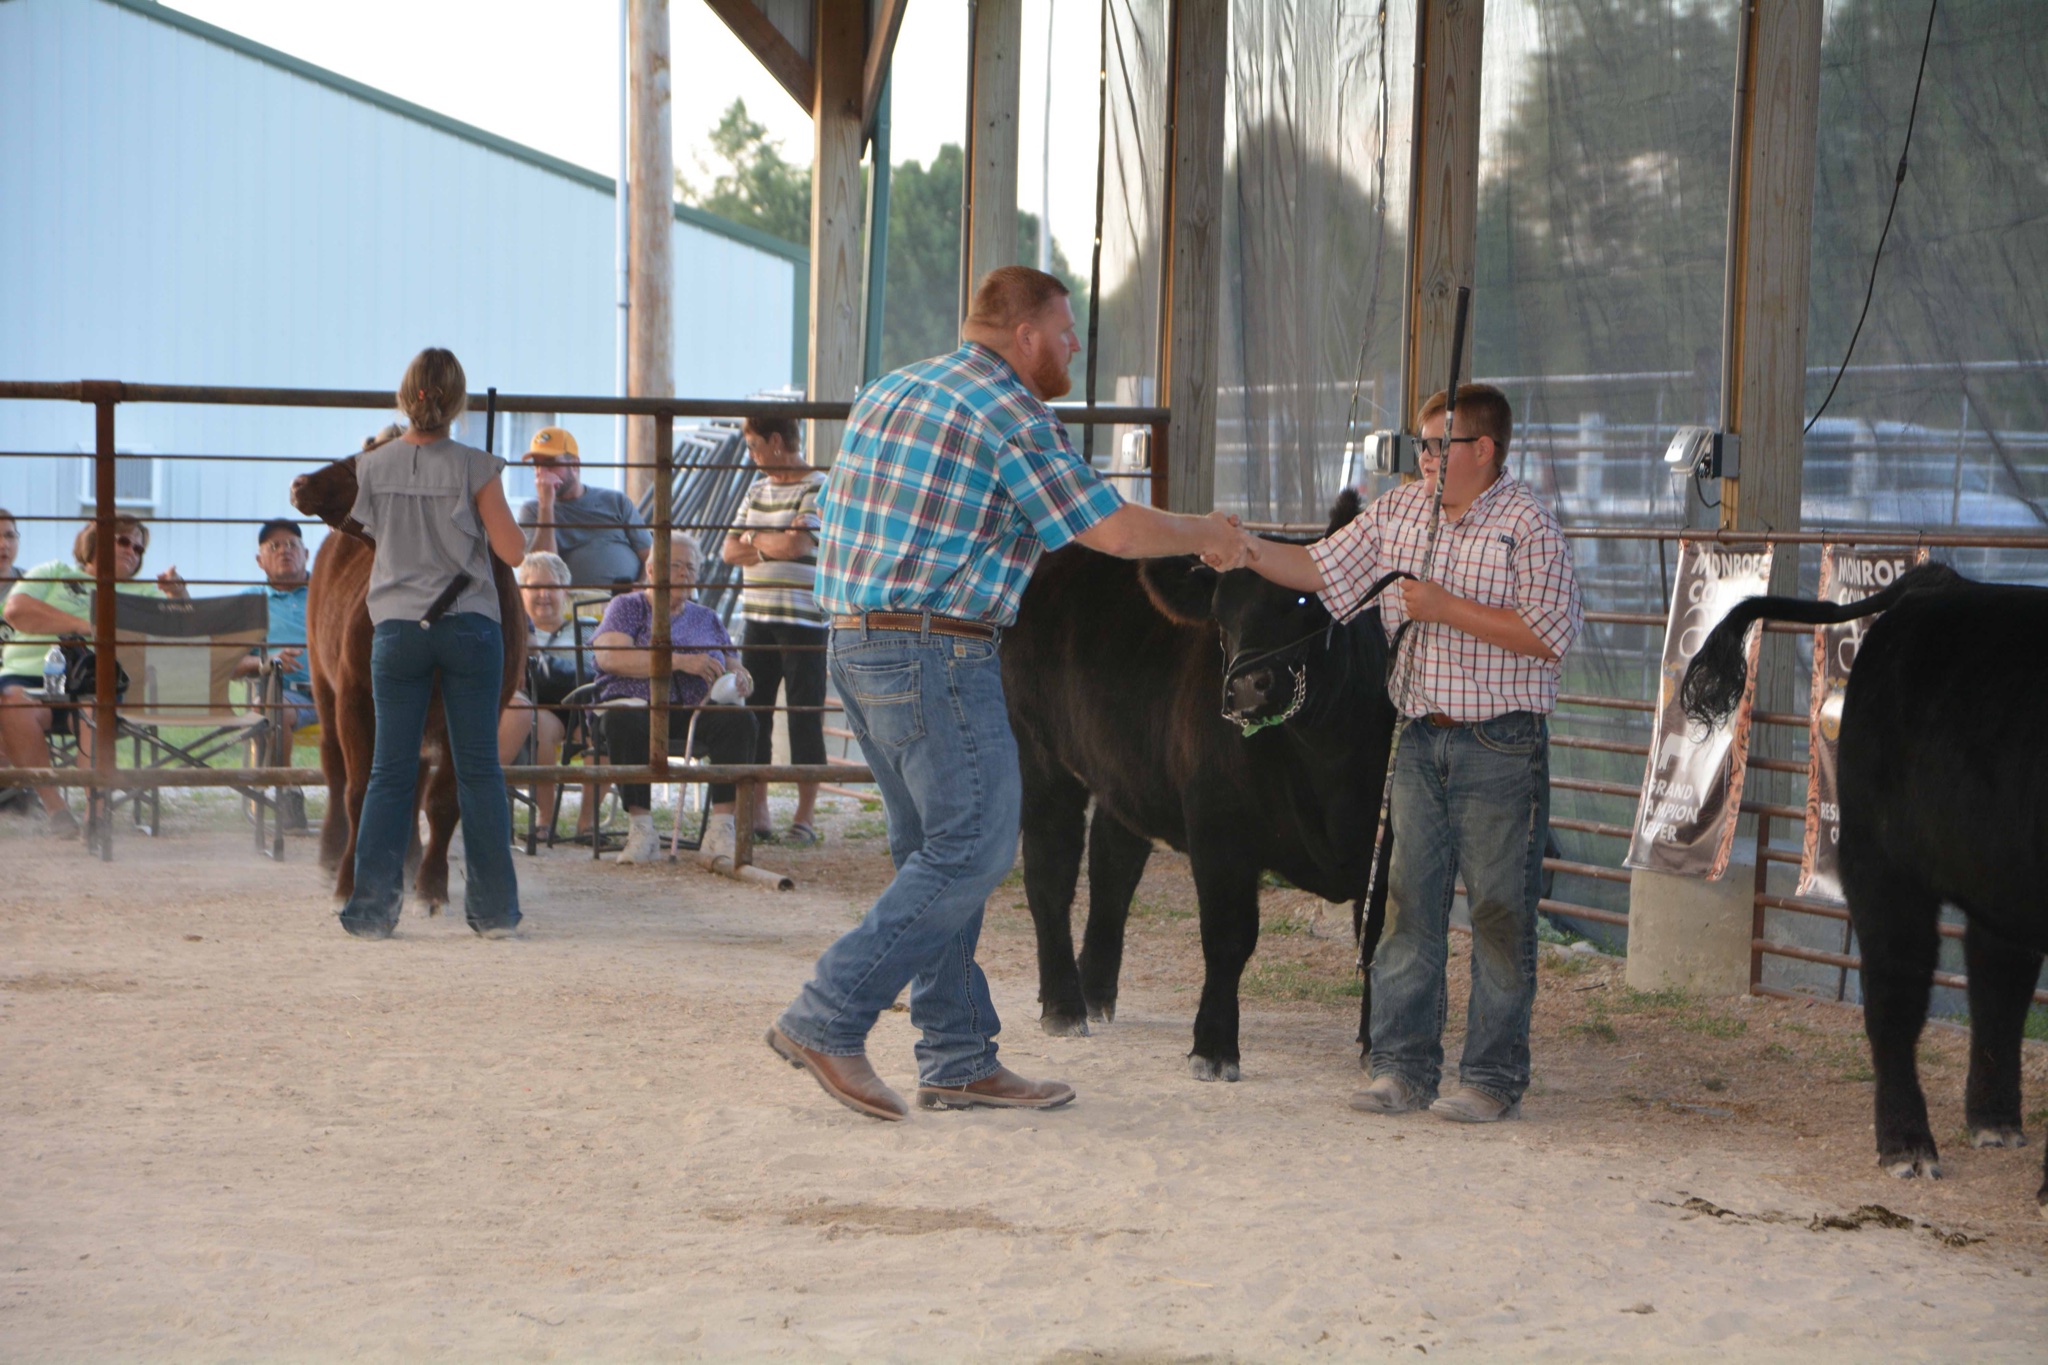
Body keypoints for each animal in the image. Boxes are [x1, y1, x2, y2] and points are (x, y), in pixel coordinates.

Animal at [1003, 491, 1399, 1080]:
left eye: (1304, 599)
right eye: (1220, 613)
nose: (1246, 687)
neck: (1324, 760)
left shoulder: (1391, 839)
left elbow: (1378, 940)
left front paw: (1379, 1045)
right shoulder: (1217, 823)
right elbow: (1228, 937)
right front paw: (1212, 1047)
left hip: (1126, 769)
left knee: (1112, 867)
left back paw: (1095, 990)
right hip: (1039, 755)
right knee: (1051, 874)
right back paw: (1064, 1005)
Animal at [1681, 562, 2048, 1216]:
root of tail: (1940, 581)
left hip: (1996, 878)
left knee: (1995, 984)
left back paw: (1995, 1121)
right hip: (1883, 865)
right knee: (1896, 997)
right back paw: (1908, 1145)